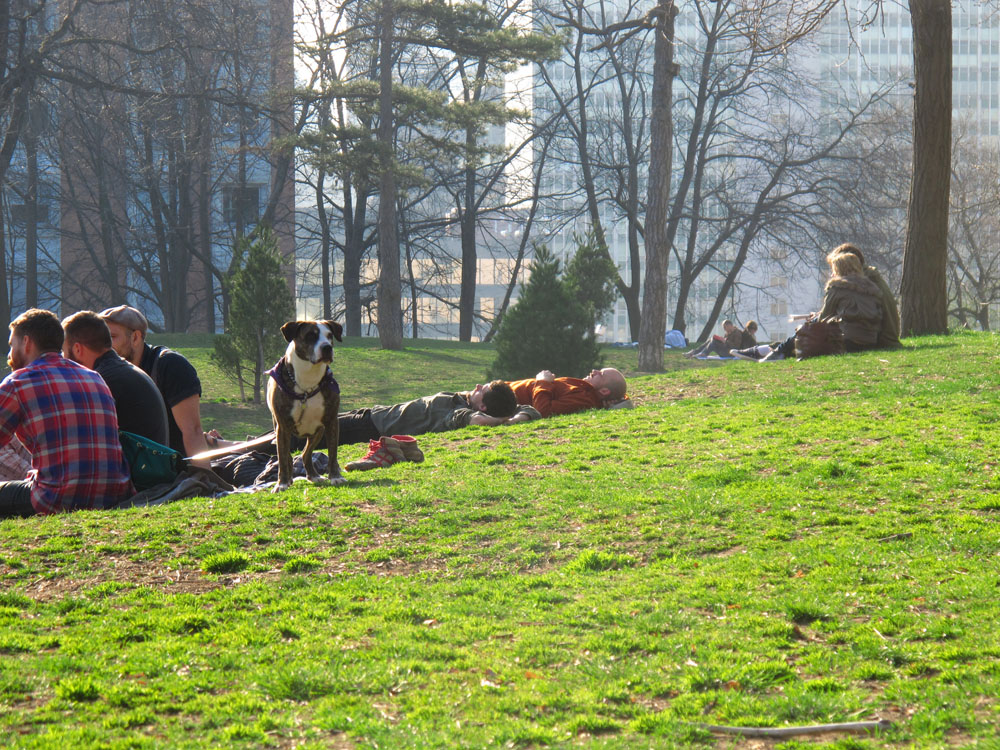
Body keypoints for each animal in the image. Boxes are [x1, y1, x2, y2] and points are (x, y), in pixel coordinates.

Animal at [264, 318, 346, 490]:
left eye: (330, 336)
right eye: (310, 336)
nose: (327, 347)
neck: (308, 379)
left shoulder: (331, 421)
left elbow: (333, 452)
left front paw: (335, 477)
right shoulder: (282, 426)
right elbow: (282, 458)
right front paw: (281, 483)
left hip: (317, 431)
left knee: (305, 453)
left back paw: (314, 475)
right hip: (279, 429)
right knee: (288, 456)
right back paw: (289, 479)